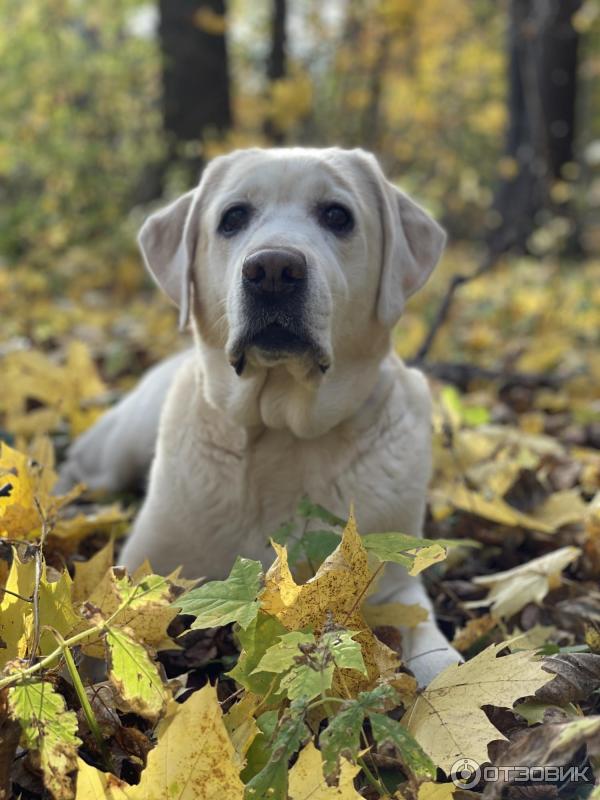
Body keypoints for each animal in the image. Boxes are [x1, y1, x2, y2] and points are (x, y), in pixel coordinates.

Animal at [59, 147, 460, 684]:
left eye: (338, 215)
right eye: (233, 217)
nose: (273, 269)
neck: (281, 431)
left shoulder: (395, 584)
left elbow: (434, 648)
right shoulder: (147, 565)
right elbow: (99, 635)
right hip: (115, 452)